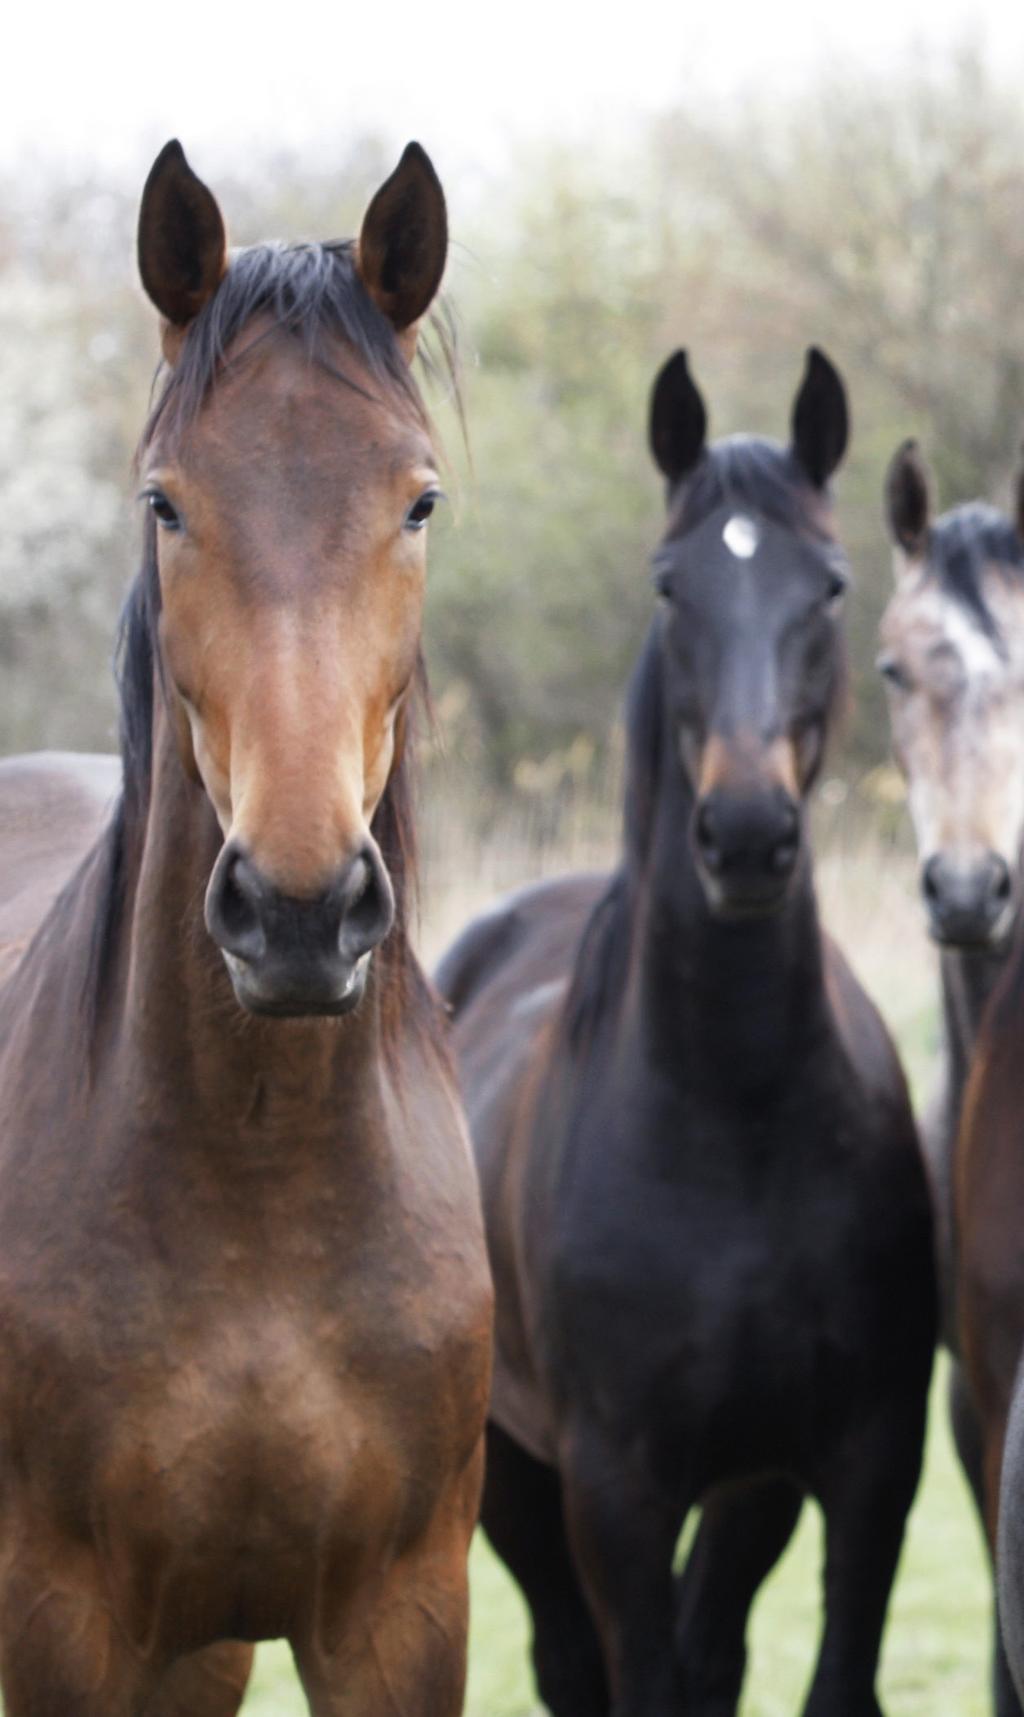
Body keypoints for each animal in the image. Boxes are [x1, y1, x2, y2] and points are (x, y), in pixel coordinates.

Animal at [436, 348, 941, 1717]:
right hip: (512, 1474)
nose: (748, 835)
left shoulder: (862, 1463)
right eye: (672, 584)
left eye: (829, 584)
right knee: (571, 1662)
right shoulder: (616, 1487)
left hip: (748, 1490)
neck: (736, 1110)